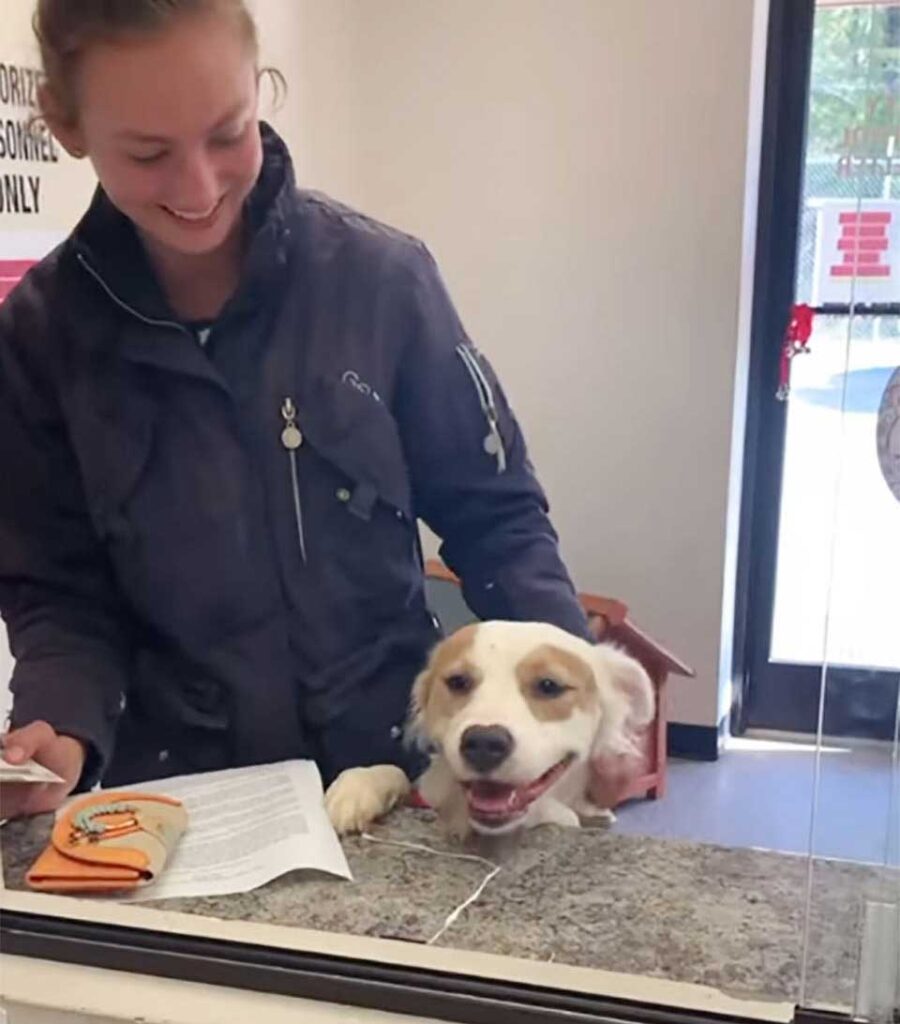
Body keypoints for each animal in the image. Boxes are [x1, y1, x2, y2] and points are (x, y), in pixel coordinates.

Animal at [323, 618, 655, 835]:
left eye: (549, 686)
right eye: (458, 682)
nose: (484, 743)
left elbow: (565, 816)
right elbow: (394, 771)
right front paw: (356, 789)